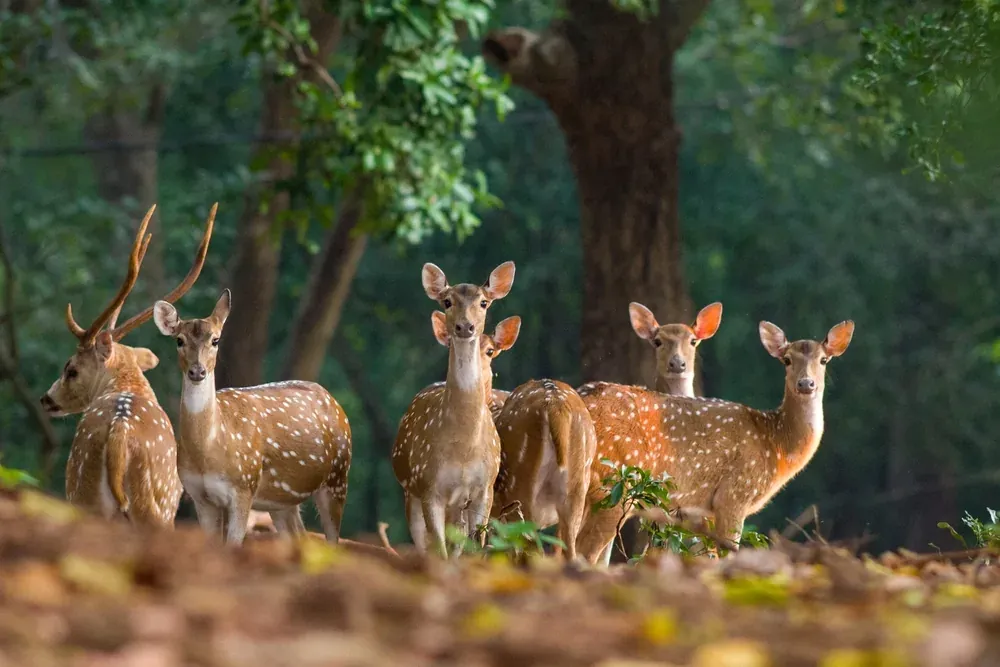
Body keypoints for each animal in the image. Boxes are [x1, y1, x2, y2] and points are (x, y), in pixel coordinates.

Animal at [40, 203, 215, 526]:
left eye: (71, 369)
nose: (46, 399)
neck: (127, 384)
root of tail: (119, 436)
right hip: (153, 504)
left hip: (87, 496)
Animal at [152, 289, 353, 545]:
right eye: (179, 340)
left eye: (215, 340)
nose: (197, 371)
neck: (209, 451)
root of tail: (334, 401)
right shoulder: (199, 496)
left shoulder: (243, 488)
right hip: (281, 500)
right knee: (299, 535)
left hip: (338, 477)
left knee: (333, 540)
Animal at [391, 261, 515, 557]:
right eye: (447, 301)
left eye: (483, 302)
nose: (465, 327)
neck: (464, 450)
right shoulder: (428, 485)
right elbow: (438, 549)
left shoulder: (485, 487)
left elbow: (475, 545)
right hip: (411, 491)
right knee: (424, 543)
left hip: (458, 504)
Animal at [574, 319, 855, 564]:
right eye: (787, 360)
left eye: (824, 359)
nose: (806, 383)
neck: (775, 445)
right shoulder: (735, 493)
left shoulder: (699, 509)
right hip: (616, 482)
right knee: (585, 551)